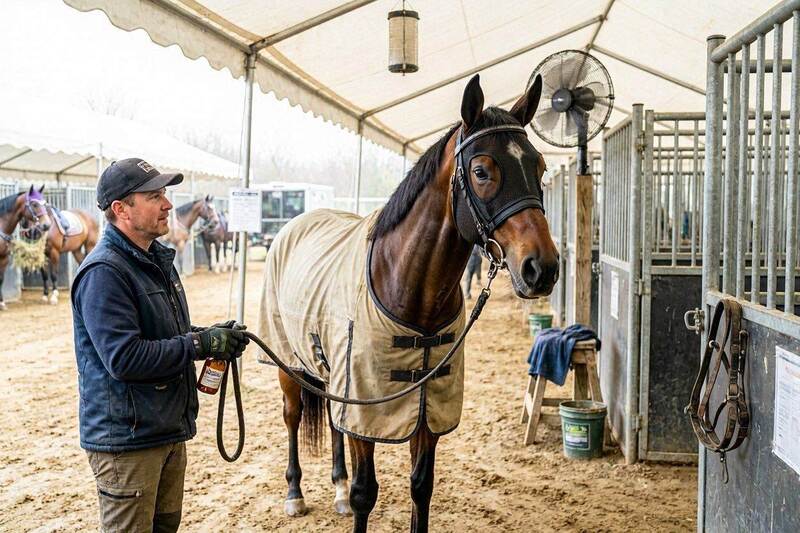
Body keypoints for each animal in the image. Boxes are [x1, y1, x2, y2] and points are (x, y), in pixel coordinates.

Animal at [257, 74, 559, 533]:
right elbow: (366, 493)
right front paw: (346, 494)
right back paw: (295, 493)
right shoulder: (368, 409)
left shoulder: (427, 407)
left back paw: (336, 487)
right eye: (481, 170)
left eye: (539, 167)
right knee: (292, 417)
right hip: (288, 364)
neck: (410, 289)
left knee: (332, 421)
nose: (541, 268)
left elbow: (421, 486)